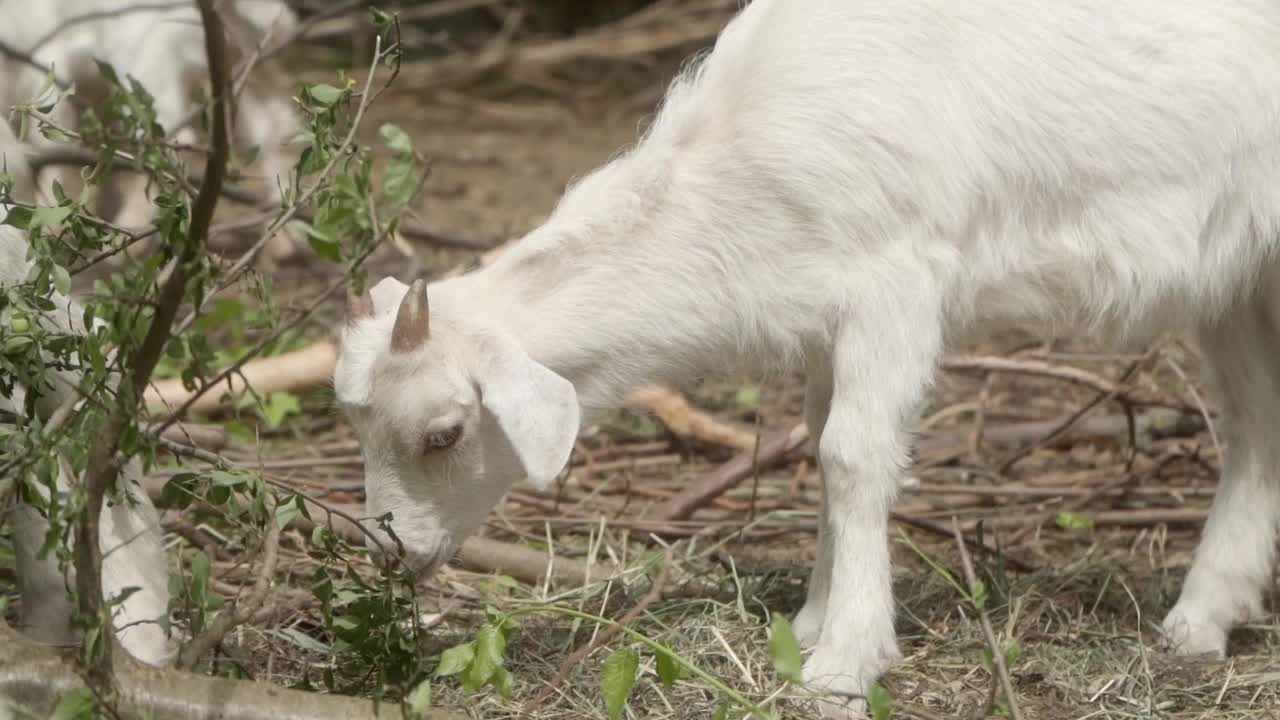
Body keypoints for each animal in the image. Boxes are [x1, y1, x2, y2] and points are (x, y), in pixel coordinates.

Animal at [337, 0, 1280, 712]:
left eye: (444, 433)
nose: (391, 554)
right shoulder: (829, 307)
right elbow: (824, 443)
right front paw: (813, 622)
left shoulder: (896, 278)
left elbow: (852, 456)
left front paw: (845, 663)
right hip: (1237, 280)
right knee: (1256, 426)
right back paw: (1202, 619)